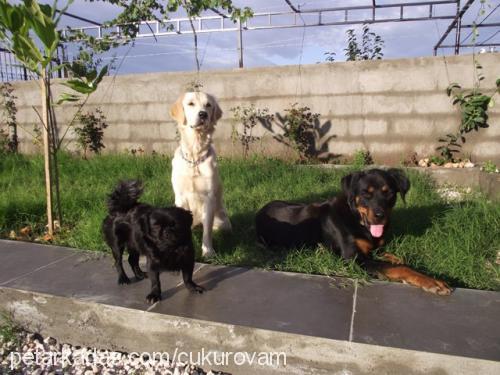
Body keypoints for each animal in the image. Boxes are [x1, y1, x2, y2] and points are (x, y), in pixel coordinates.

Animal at [168, 92, 230, 258]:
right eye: (191, 104)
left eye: (208, 105)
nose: (203, 114)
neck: (194, 158)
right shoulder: (181, 197)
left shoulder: (209, 197)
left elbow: (207, 231)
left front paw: (208, 251)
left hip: (222, 220)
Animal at [256, 168, 452, 296]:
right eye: (366, 193)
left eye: (389, 193)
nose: (380, 216)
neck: (356, 219)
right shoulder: (354, 259)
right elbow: (399, 268)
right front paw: (432, 282)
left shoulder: (375, 248)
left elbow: (395, 259)